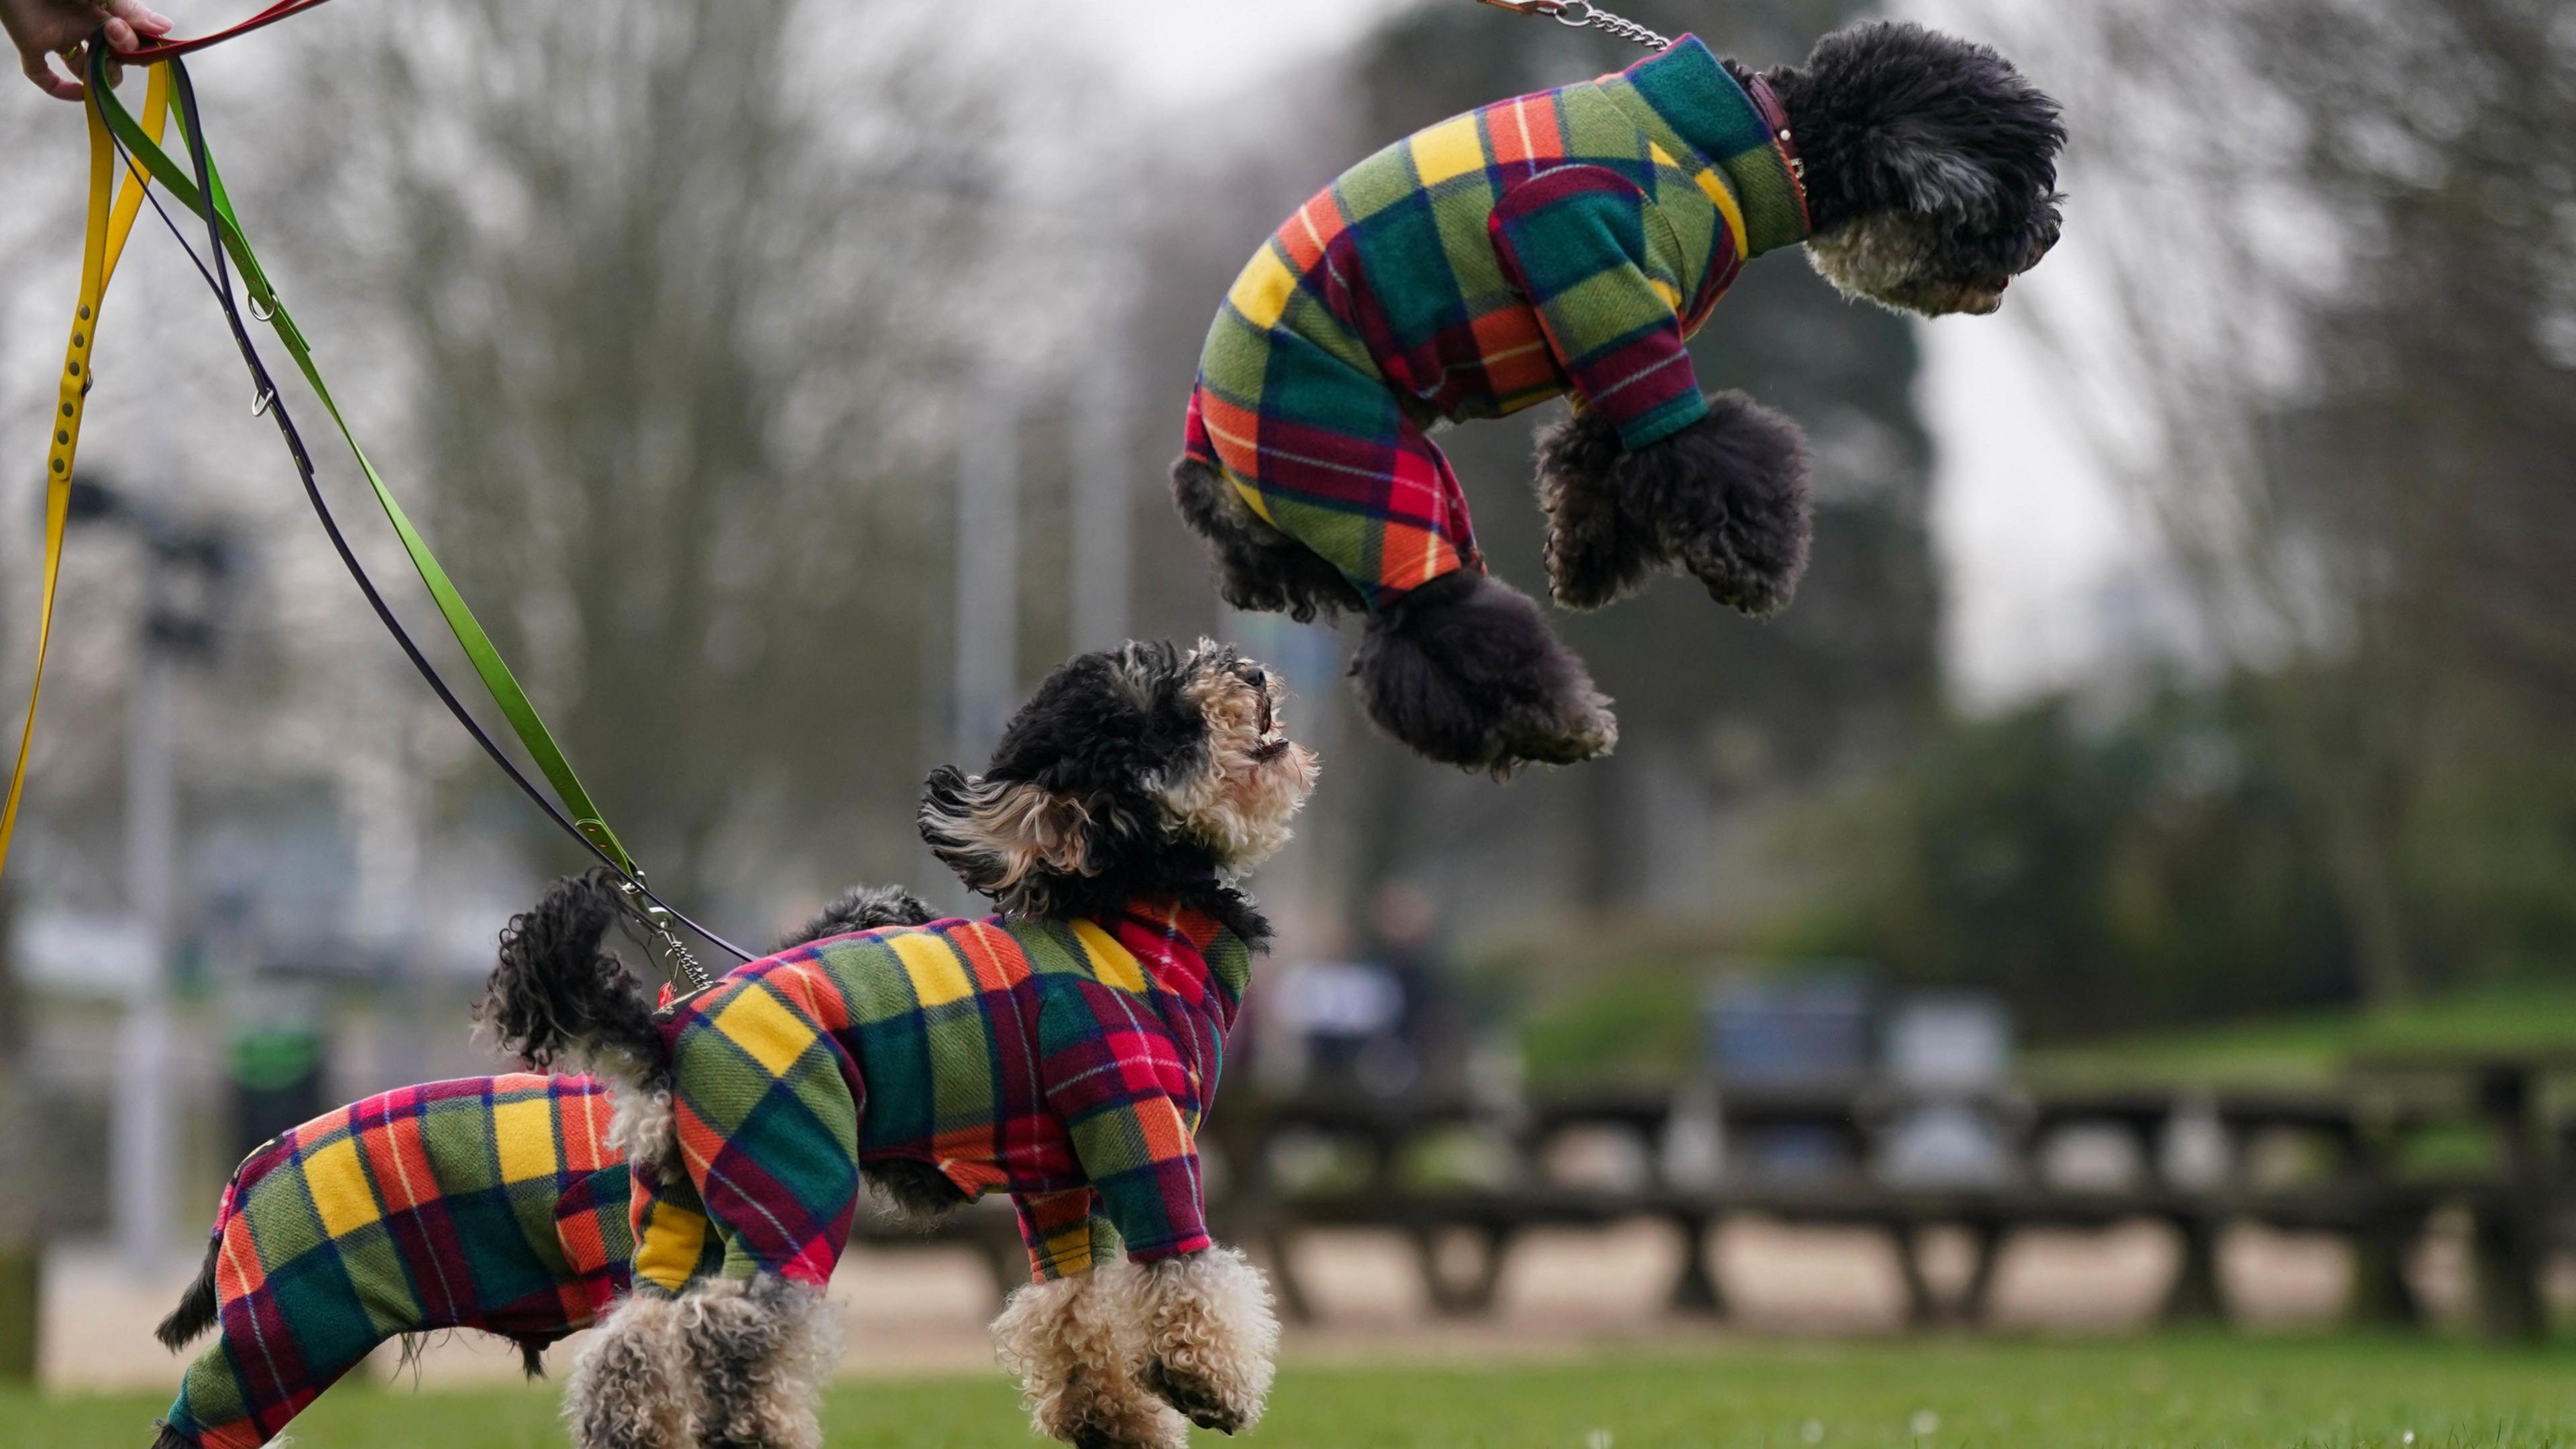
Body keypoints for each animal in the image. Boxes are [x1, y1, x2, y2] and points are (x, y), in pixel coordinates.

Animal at [484, 639, 1319, 1444]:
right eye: (1168, 721)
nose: (1250, 673)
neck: (1134, 919)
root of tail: (666, 1029)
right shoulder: (1137, 1123)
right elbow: (1181, 1267)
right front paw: (1206, 1382)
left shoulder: (1056, 1182)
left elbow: (1072, 1304)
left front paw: (1111, 1419)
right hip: (793, 1172)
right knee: (732, 1327)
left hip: (678, 1205)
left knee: (636, 1336)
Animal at [1179, 17, 2061, 773]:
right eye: (2020, 180)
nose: (2048, 237)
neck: (1759, 140)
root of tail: (1204, 442)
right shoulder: (1578, 249)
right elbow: (1702, 447)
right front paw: (1749, 565)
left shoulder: (1610, 340)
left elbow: (1601, 457)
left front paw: (1583, 561)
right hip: (1348, 462)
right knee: (1436, 624)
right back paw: (1555, 723)